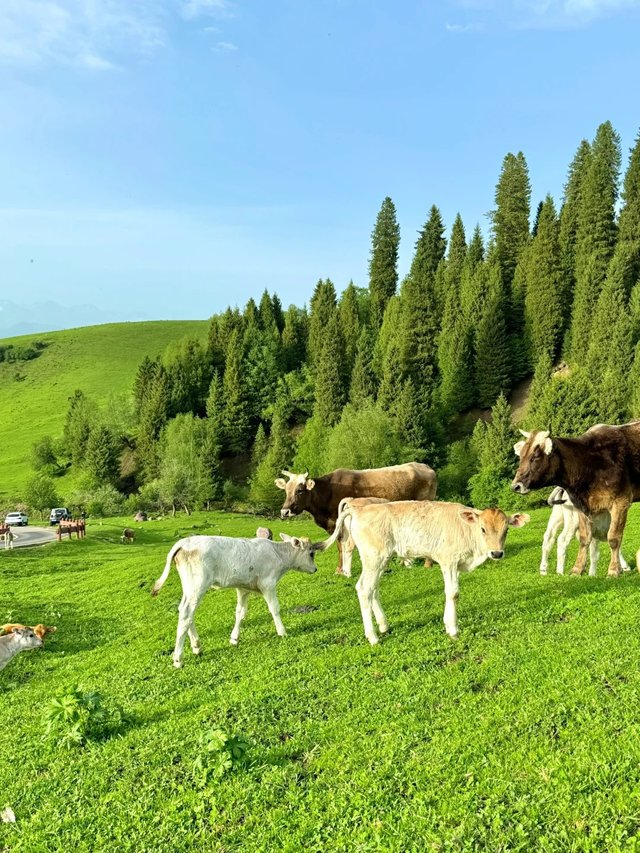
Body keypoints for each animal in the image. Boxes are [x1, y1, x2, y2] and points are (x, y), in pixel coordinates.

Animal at [151, 532, 324, 664]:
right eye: (311, 553)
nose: (315, 569)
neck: (278, 554)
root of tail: (184, 542)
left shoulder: (243, 589)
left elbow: (240, 613)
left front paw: (234, 638)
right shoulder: (268, 584)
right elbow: (274, 608)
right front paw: (282, 632)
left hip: (189, 587)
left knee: (185, 611)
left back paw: (196, 645)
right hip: (197, 585)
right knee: (187, 614)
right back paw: (178, 658)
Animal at [272, 462, 438, 576]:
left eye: (300, 490)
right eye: (286, 490)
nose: (285, 511)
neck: (328, 491)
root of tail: (424, 466)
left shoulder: (338, 524)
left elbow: (341, 546)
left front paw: (340, 569)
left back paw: (427, 564)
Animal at [324, 500, 528, 644]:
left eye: (506, 530)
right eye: (483, 529)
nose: (496, 553)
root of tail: (360, 509)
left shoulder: (456, 564)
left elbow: (451, 593)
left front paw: (447, 623)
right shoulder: (448, 560)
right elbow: (453, 593)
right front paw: (453, 630)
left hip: (381, 559)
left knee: (373, 589)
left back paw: (383, 626)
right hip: (374, 557)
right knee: (364, 589)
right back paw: (373, 637)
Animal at [512, 422, 640, 576]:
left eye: (535, 457)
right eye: (521, 456)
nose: (516, 486)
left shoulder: (620, 502)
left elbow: (614, 537)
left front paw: (614, 570)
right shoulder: (582, 507)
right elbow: (586, 539)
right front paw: (577, 569)